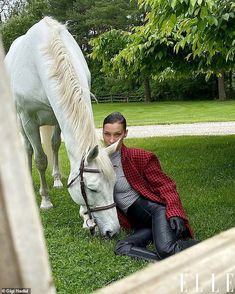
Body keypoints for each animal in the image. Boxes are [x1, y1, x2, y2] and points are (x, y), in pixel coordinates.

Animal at [4, 16, 120, 237]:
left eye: (113, 184)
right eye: (92, 189)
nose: (113, 231)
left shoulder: (62, 115)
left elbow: (60, 149)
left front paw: (83, 215)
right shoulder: (28, 119)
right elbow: (40, 160)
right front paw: (45, 201)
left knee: (54, 145)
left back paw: (57, 180)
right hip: (20, 122)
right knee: (28, 149)